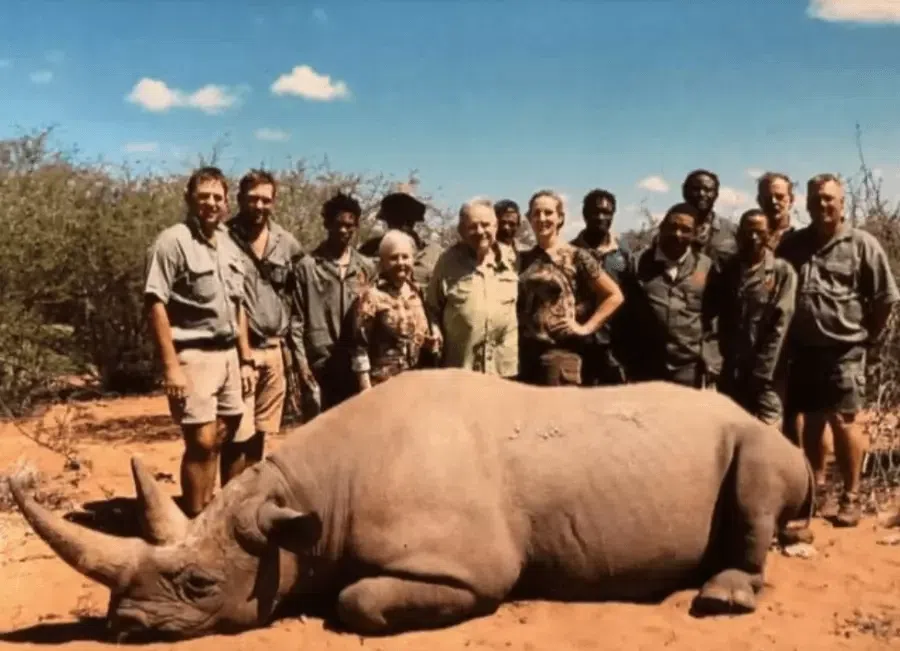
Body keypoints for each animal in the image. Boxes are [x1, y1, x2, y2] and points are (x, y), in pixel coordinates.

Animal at [8, 369, 815, 641]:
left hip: (756, 437)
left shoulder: (464, 566)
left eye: (201, 585)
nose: (124, 627)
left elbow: (358, 599)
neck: (305, 503)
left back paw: (720, 599)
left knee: (759, 477)